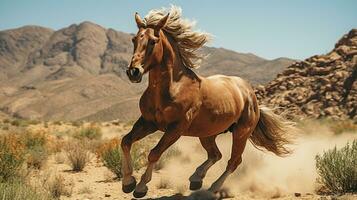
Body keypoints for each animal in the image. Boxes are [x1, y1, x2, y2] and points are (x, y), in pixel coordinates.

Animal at [119, 5, 292, 198]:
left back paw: (213, 188)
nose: (133, 72)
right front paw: (128, 182)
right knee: (215, 155)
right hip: (208, 133)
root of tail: (251, 95)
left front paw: (141, 187)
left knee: (233, 161)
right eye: (134, 39)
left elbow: (154, 153)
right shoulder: (149, 122)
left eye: (153, 41)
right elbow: (125, 141)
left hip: (241, 133)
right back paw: (196, 178)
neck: (173, 87)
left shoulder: (176, 128)